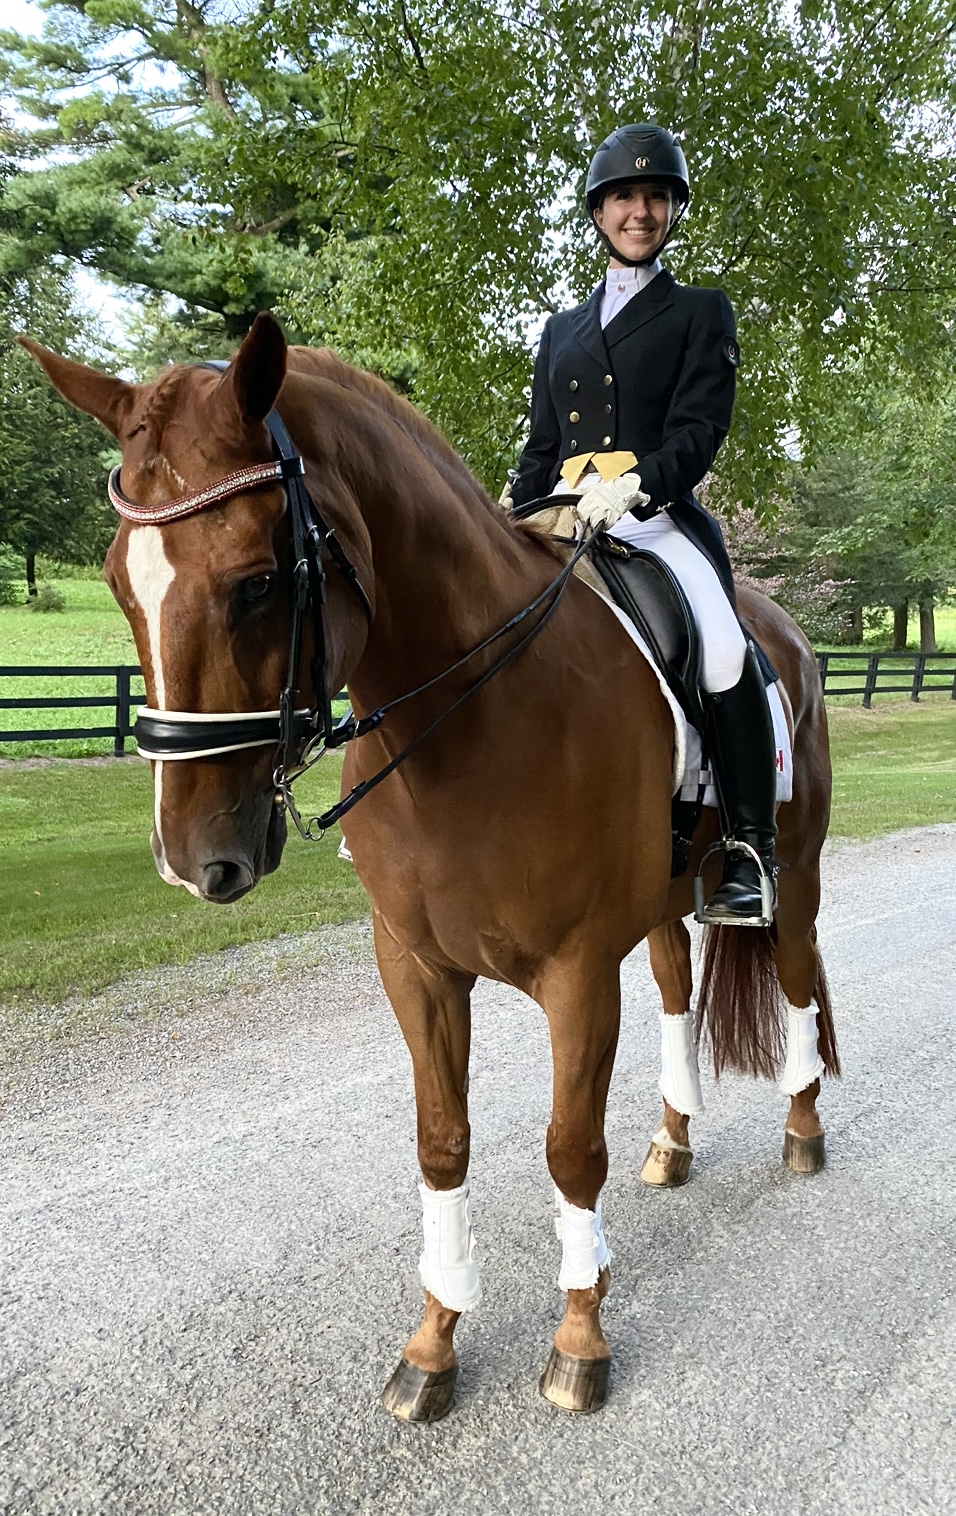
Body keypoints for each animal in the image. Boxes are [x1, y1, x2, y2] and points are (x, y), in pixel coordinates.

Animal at [23, 312, 838, 1421]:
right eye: (118, 582)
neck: (472, 719)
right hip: (667, 898)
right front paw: (433, 1341)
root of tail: (784, 628)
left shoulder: (576, 973)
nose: (195, 861)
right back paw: (672, 1140)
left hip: (792, 872)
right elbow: (440, 1141)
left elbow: (567, 1147)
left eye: (259, 580)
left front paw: (578, 1338)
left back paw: (802, 1129)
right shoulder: (414, 967)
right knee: (677, 984)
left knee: (794, 976)